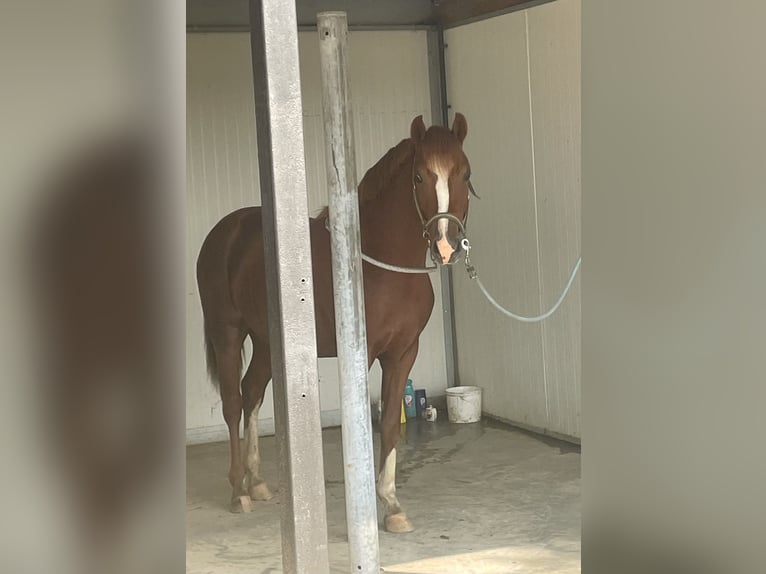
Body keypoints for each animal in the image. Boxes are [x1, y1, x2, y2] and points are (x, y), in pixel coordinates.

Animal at [196, 113, 472, 533]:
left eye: (464, 173)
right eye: (419, 177)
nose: (445, 245)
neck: (380, 261)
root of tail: (223, 232)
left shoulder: (403, 352)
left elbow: (388, 422)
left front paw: (392, 505)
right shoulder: (363, 353)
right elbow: (358, 425)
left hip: (265, 340)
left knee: (251, 393)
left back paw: (256, 481)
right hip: (226, 332)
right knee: (231, 403)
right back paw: (238, 490)